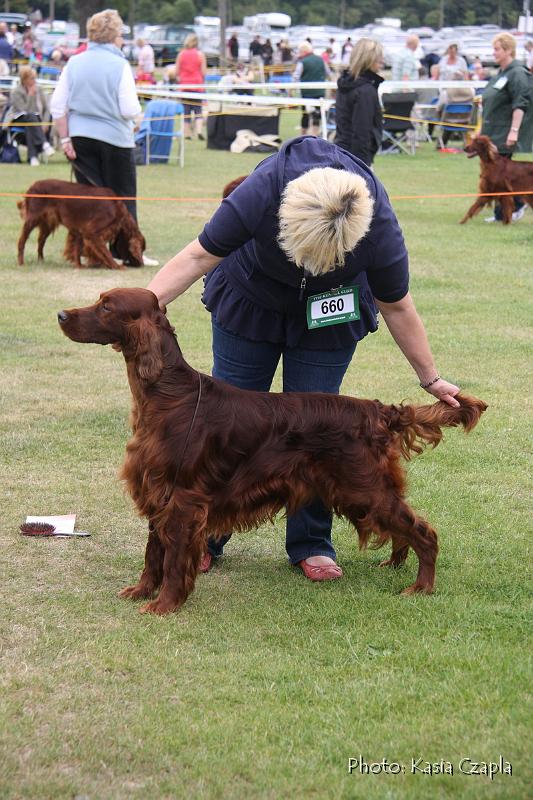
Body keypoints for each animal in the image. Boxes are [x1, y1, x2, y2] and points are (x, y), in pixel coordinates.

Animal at [16, 179, 145, 268]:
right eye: (142, 250)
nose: (141, 264)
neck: (117, 209)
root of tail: (32, 186)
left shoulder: (80, 230)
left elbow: (77, 249)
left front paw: (80, 265)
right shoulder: (91, 231)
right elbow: (105, 252)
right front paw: (115, 266)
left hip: (48, 223)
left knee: (40, 241)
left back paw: (41, 261)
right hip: (32, 219)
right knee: (22, 241)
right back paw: (21, 262)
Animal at [58, 288, 486, 612]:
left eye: (106, 306)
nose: (61, 314)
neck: (169, 395)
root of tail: (377, 410)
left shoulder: (182, 499)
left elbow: (174, 558)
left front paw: (164, 605)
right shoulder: (156, 491)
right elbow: (153, 553)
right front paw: (141, 591)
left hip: (364, 488)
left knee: (424, 532)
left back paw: (421, 587)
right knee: (401, 529)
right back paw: (397, 564)